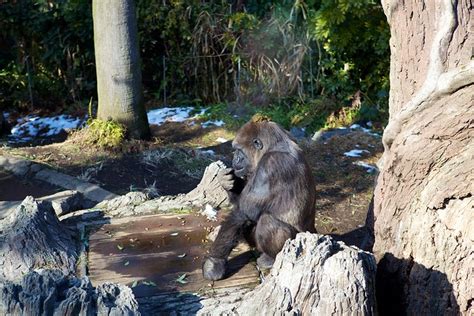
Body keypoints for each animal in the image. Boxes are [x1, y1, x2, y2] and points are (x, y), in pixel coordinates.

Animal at [203, 117, 316, 280]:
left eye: (239, 150)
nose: (235, 158)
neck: (272, 146)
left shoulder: (270, 165)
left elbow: (245, 210)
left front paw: (214, 262)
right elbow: (242, 209)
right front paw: (229, 182)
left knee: (267, 222)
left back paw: (270, 259)